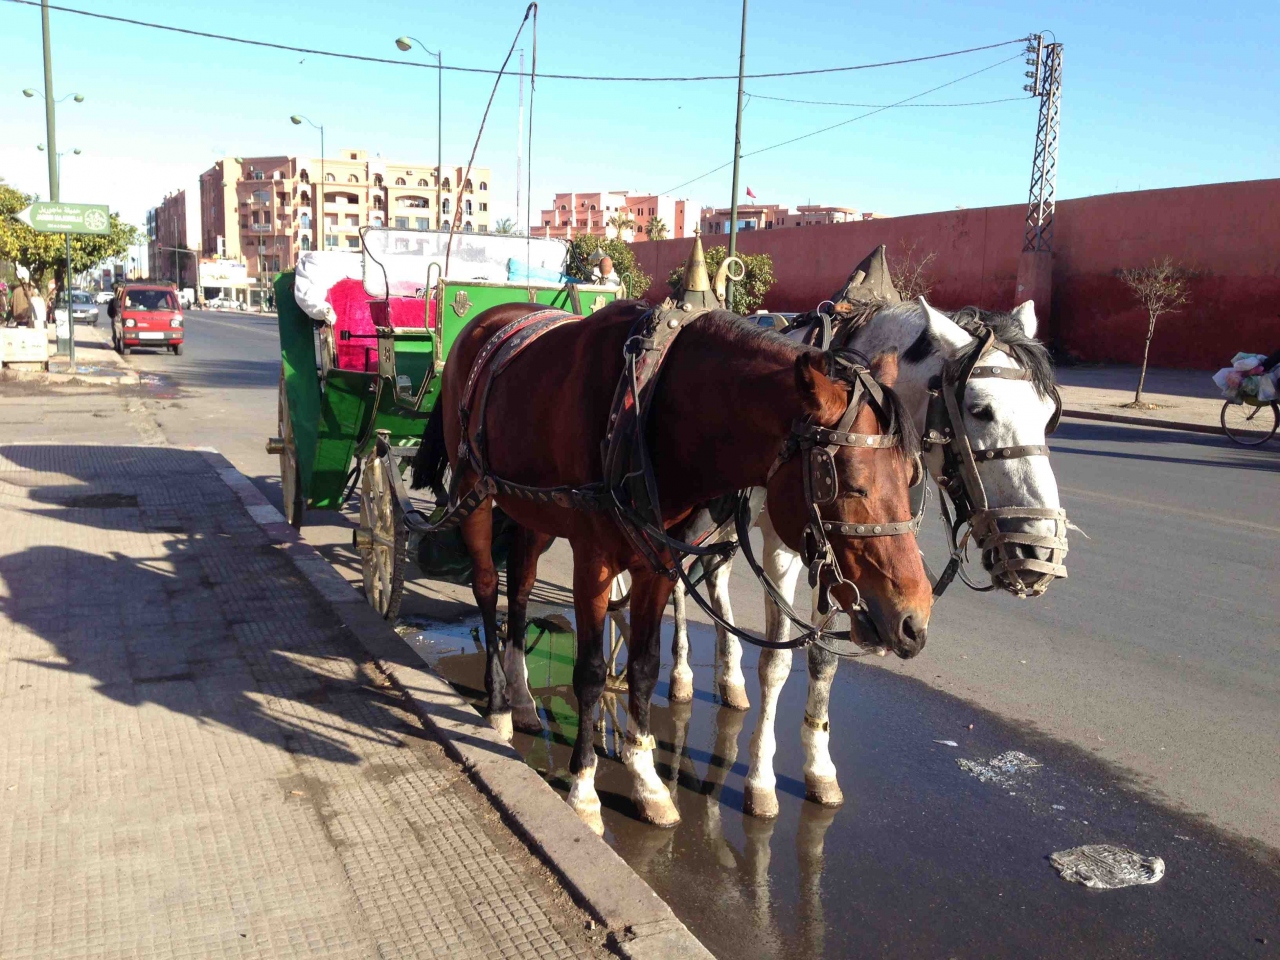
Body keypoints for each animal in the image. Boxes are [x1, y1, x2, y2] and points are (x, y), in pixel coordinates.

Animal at [419, 300, 931, 834]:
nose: (913, 619)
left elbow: (645, 667)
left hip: (532, 509)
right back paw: (499, 706)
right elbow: (591, 672)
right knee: (485, 587)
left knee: (519, 587)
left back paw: (521, 699)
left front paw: (646, 780)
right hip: (475, 490)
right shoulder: (593, 561)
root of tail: (493, 316)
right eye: (847, 482)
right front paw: (584, 791)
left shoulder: (657, 562)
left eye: (911, 475)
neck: (648, 409)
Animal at [665, 295, 1064, 819]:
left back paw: (730, 681)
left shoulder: (849, 558)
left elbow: (824, 660)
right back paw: (680, 675)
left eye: (1049, 415)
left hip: (733, 518)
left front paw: (819, 768)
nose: (1039, 549)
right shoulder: (783, 548)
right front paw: (761, 780)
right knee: (675, 572)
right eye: (981, 410)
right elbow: (776, 662)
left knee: (712, 570)